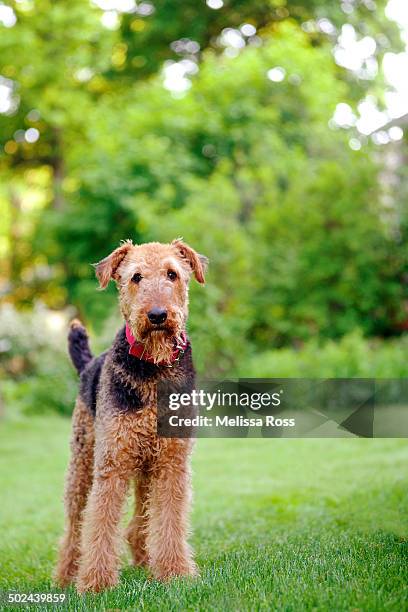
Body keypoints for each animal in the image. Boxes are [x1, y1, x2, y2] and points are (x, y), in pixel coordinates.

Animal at [54, 237, 207, 592]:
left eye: (172, 274)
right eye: (136, 277)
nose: (157, 315)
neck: (153, 368)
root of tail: (89, 364)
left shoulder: (172, 463)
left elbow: (169, 521)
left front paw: (174, 573)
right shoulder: (112, 463)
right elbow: (100, 524)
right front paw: (96, 584)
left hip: (146, 468)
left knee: (138, 523)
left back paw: (145, 560)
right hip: (83, 464)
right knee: (75, 526)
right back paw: (66, 576)